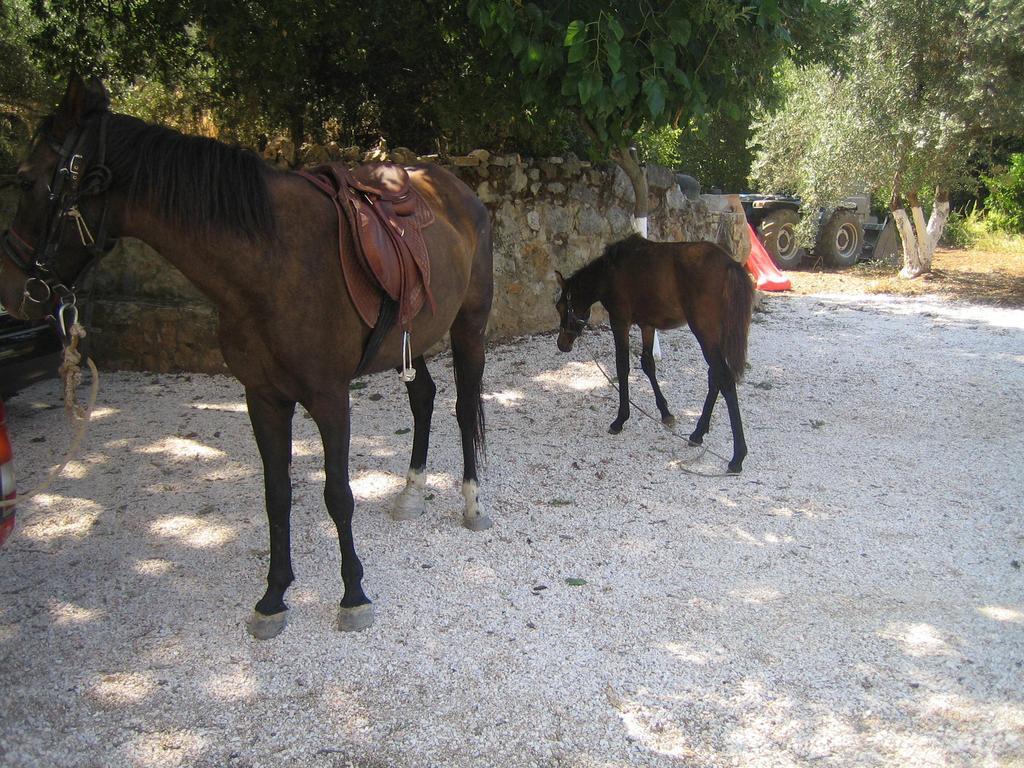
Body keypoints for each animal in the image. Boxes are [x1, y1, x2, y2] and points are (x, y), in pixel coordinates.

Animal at [0, 75, 495, 638]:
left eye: (25, 180)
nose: (12, 289)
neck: (269, 263)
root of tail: (456, 188)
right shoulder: (262, 397)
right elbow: (276, 494)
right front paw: (274, 597)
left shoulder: (329, 398)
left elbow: (337, 495)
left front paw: (353, 594)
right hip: (409, 337)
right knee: (424, 399)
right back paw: (411, 493)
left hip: (469, 325)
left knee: (464, 407)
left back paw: (472, 502)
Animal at [557, 234, 757, 475]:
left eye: (560, 307)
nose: (562, 344)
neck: (610, 272)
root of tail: (730, 264)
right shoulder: (647, 324)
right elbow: (647, 364)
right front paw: (665, 412)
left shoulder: (620, 322)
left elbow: (622, 367)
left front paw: (620, 419)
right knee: (715, 377)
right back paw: (698, 433)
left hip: (705, 332)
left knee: (724, 379)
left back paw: (737, 456)